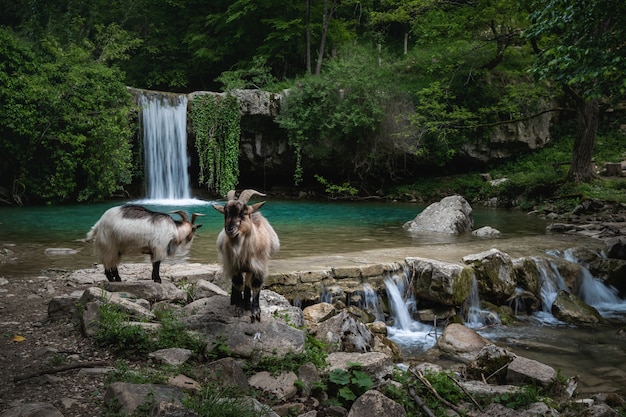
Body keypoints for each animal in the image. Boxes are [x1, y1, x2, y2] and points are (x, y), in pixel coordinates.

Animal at [213, 188, 280, 322]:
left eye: (243, 213)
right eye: (225, 213)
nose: (230, 229)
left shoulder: (259, 266)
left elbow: (255, 285)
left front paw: (255, 312)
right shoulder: (234, 266)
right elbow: (238, 284)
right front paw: (238, 308)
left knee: (248, 283)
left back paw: (247, 303)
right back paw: (234, 300)